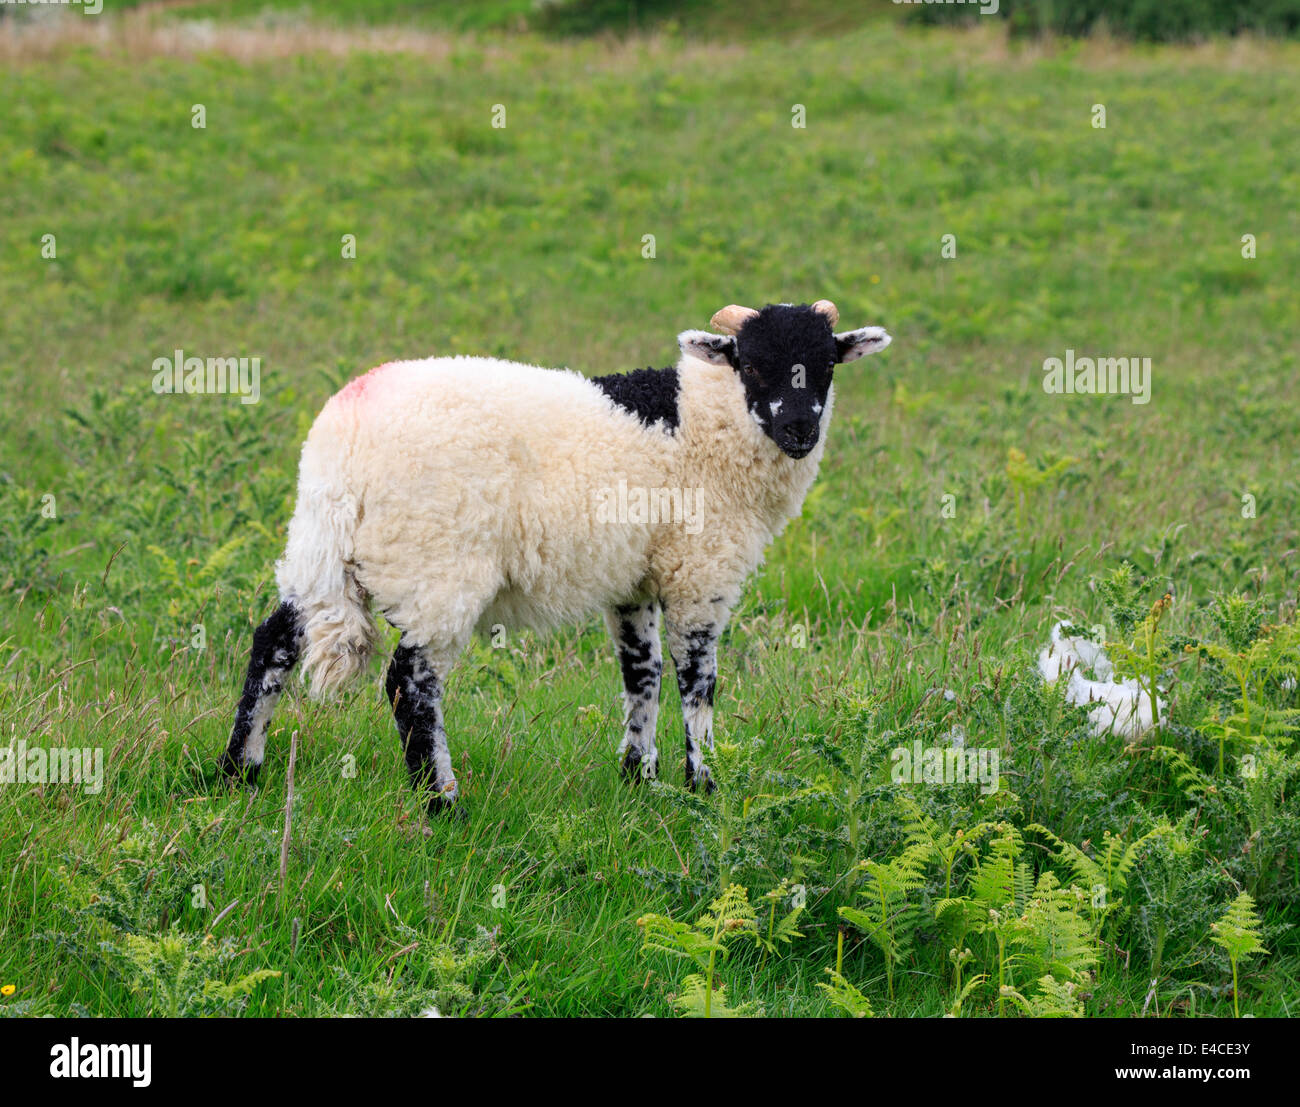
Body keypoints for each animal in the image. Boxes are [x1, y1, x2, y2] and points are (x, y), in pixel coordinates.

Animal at [218, 300, 891, 809]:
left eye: (827, 365)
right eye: (750, 363)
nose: (801, 431)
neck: (705, 426)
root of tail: (347, 431)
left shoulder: (634, 579)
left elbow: (641, 674)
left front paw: (638, 779)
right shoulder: (699, 570)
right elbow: (697, 681)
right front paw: (703, 786)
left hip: (319, 546)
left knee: (273, 642)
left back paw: (239, 771)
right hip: (436, 562)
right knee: (410, 683)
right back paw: (441, 800)